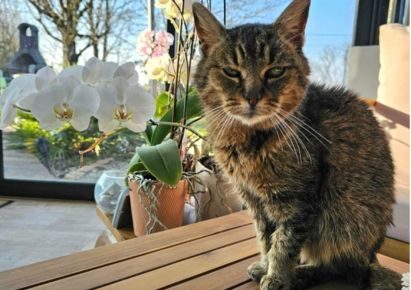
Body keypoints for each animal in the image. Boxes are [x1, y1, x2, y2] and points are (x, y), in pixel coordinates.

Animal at [192, 0, 402, 290]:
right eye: (231, 72)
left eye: (275, 71)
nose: (252, 97)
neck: (248, 142)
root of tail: (373, 254)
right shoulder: (255, 202)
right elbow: (265, 239)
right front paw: (265, 265)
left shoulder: (296, 201)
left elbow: (283, 243)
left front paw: (277, 276)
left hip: (346, 220)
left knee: (343, 266)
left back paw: (303, 273)